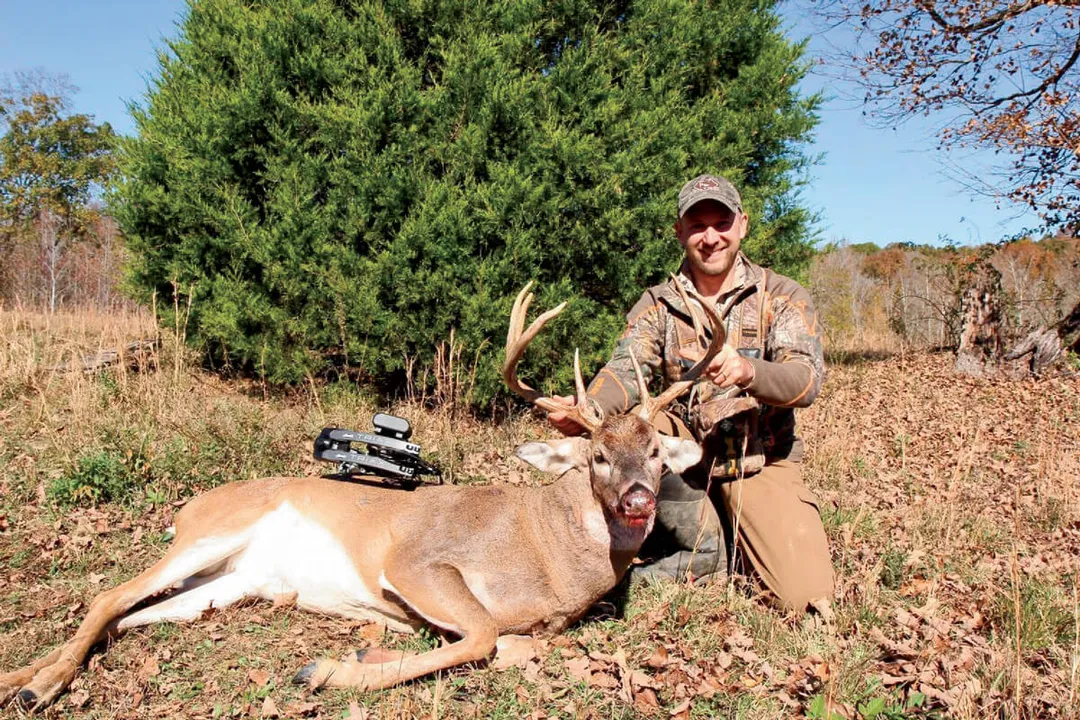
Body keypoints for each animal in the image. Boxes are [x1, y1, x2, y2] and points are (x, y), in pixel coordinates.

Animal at [0, 281, 725, 712]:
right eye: (598, 456)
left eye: (656, 453)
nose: (638, 500)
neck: (548, 554)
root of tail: (189, 508)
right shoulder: (415, 561)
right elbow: (483, 636)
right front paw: (325, 670)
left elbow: (510, 644)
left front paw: (351, 658)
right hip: (214, 534)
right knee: (108, 594)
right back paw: (39, 688)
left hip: (228, 583)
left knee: (128, 614)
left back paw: (22, 677)